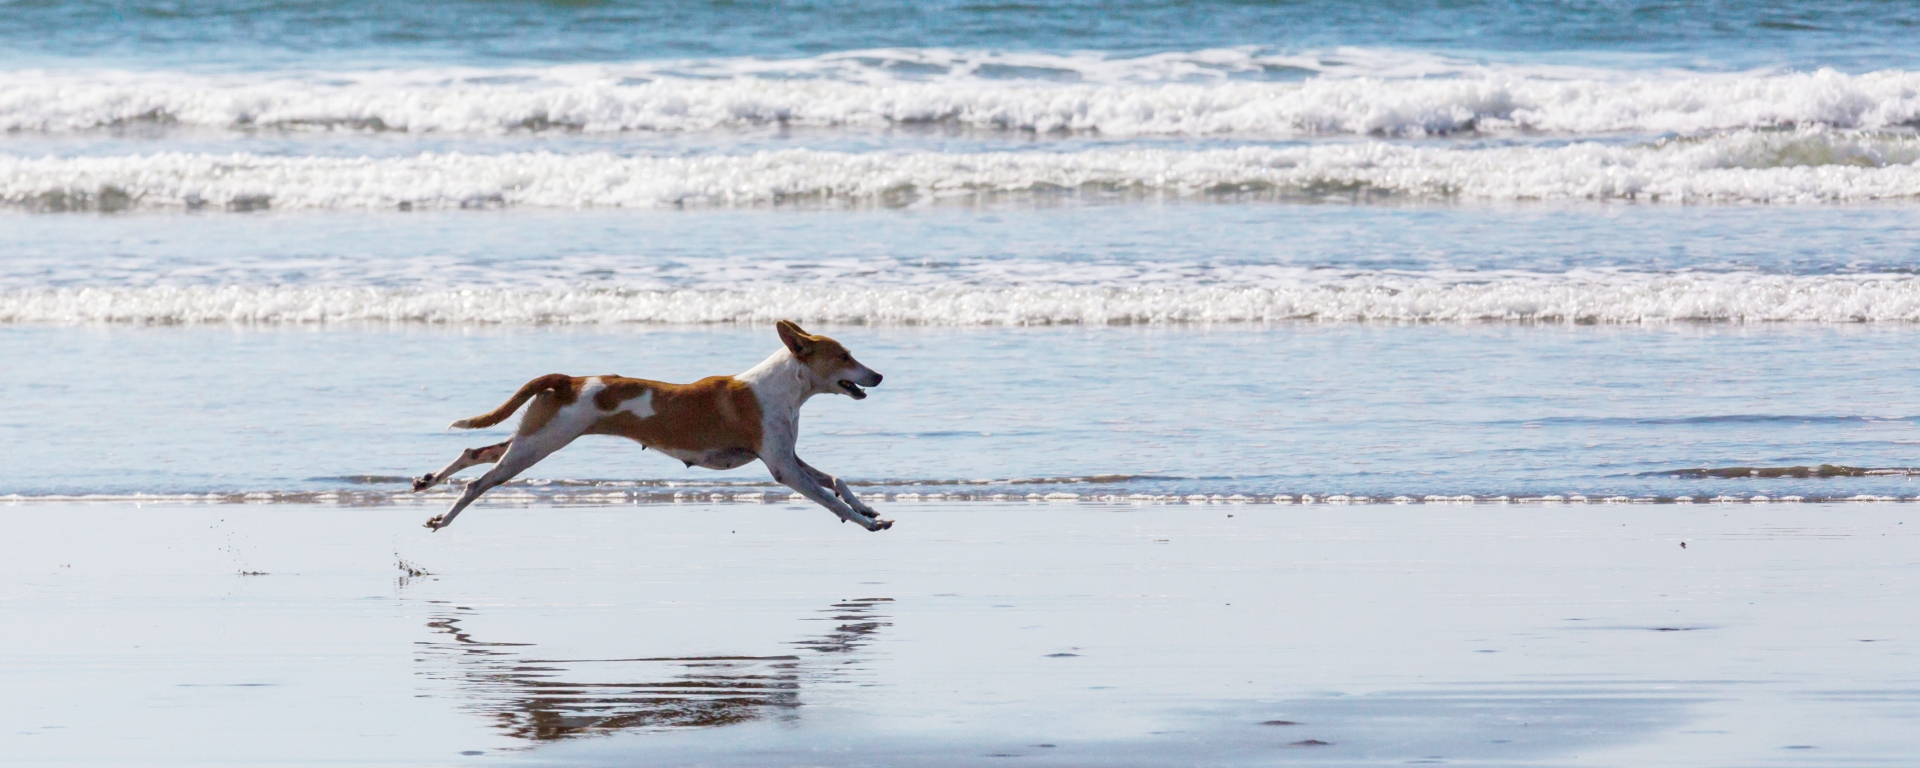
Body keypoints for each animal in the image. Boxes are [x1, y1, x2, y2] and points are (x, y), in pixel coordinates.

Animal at [412, 320, 890, 529]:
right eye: (844, 356)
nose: (880, 375)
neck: (779, 387)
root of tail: (567, 380)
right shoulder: (782, 467)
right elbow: (827, 500)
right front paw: (864, 521)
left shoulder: (788, 456)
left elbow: (835, 479)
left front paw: (865, 506)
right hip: (539, 445)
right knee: (478, 483)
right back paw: (444, 517)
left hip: (534, 436)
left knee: (476, 452)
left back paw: (428, 479)